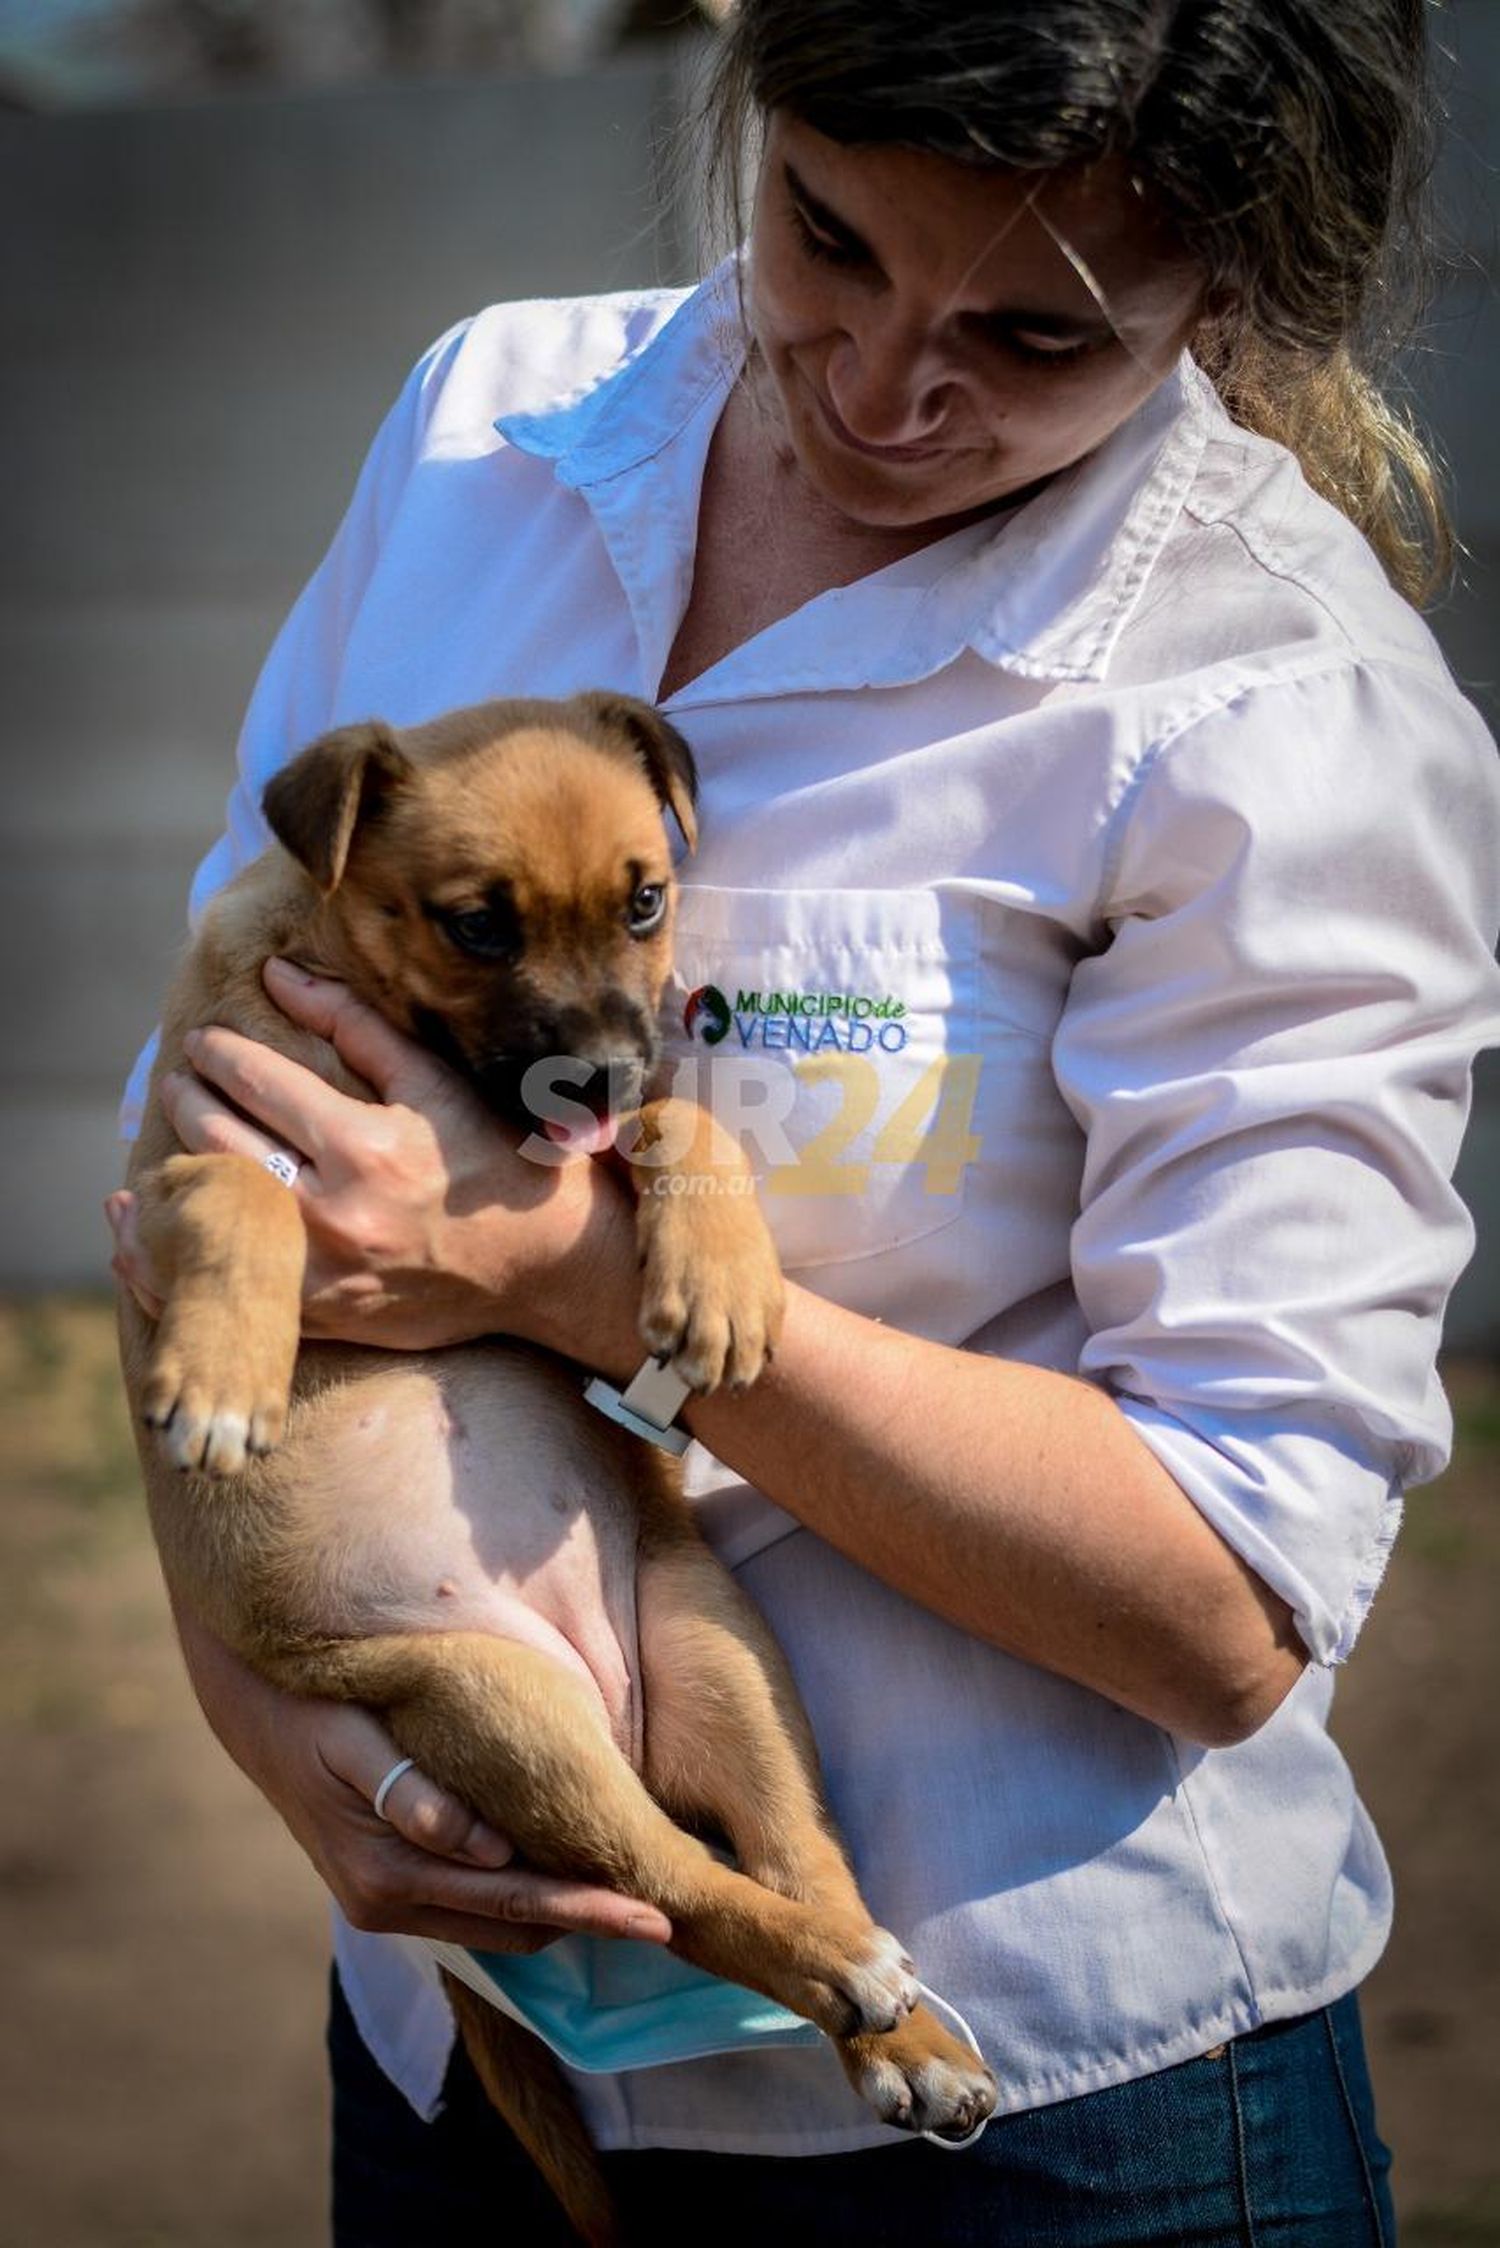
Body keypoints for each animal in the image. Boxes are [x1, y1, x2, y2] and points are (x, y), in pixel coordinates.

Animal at [123, 692, 998, 2239]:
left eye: (646, 901)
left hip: (716, 1649)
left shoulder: (621, 1117)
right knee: (675, 1878)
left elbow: (685, 1121)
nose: (595, 1070)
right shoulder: (178, 1151)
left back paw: (898, 2027)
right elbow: (243, 1188)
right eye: (478, 925)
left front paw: (720, 1274)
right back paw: (852, 1985)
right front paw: (223, 1373)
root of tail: (621, 1718)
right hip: (490, 1700)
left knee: (785, 1856)